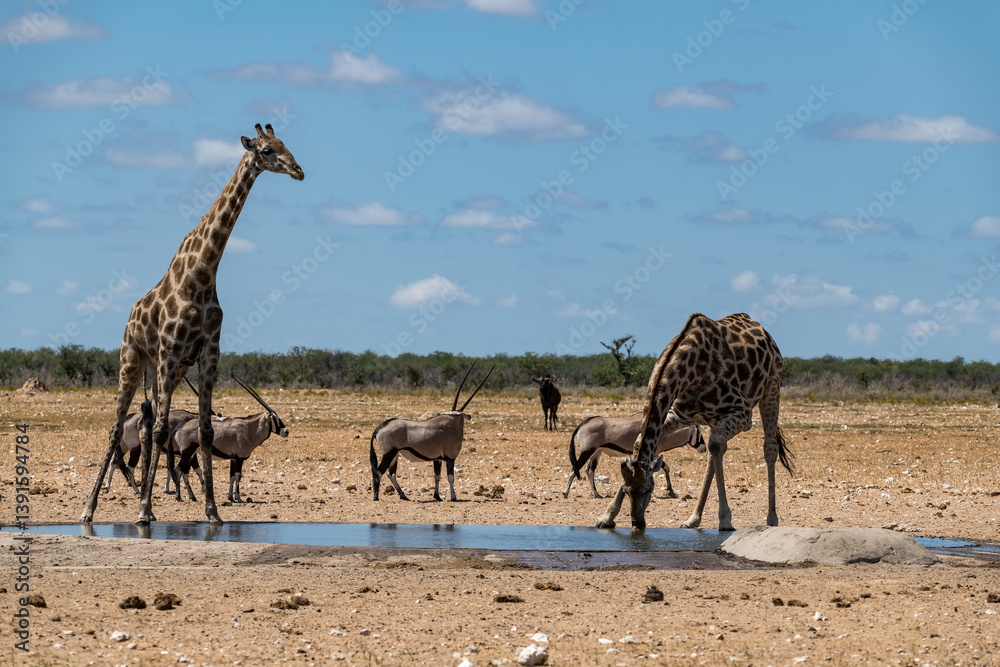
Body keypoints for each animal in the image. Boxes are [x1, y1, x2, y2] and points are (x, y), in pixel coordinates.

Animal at [81, 123, 303, 526]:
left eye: (285, 144)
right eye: (266, 150)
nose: (298, 170)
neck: (200, 276)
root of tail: (130, 317)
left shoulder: (208, 353)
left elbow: (204, 429)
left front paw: (213, 511)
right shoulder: (171, 352)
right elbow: (160, 430)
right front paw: (143, 511)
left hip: (157, 369)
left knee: (143, 424)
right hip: (133, 361)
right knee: (120, 427)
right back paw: (91, 509)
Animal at [595, 313, 794, 532]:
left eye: (649, 488)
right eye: (626, 489)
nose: (637, 523)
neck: (690, 372)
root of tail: (765, 333)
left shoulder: (743, 413)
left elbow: (718, 445)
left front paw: (725, 520)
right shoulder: (678, 415)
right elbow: (639, 442)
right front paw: (606, 516)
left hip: (771, 388)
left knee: (768, 448)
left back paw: (772, 519)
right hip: (715, 419)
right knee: (716, 452)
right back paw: (693, 519)